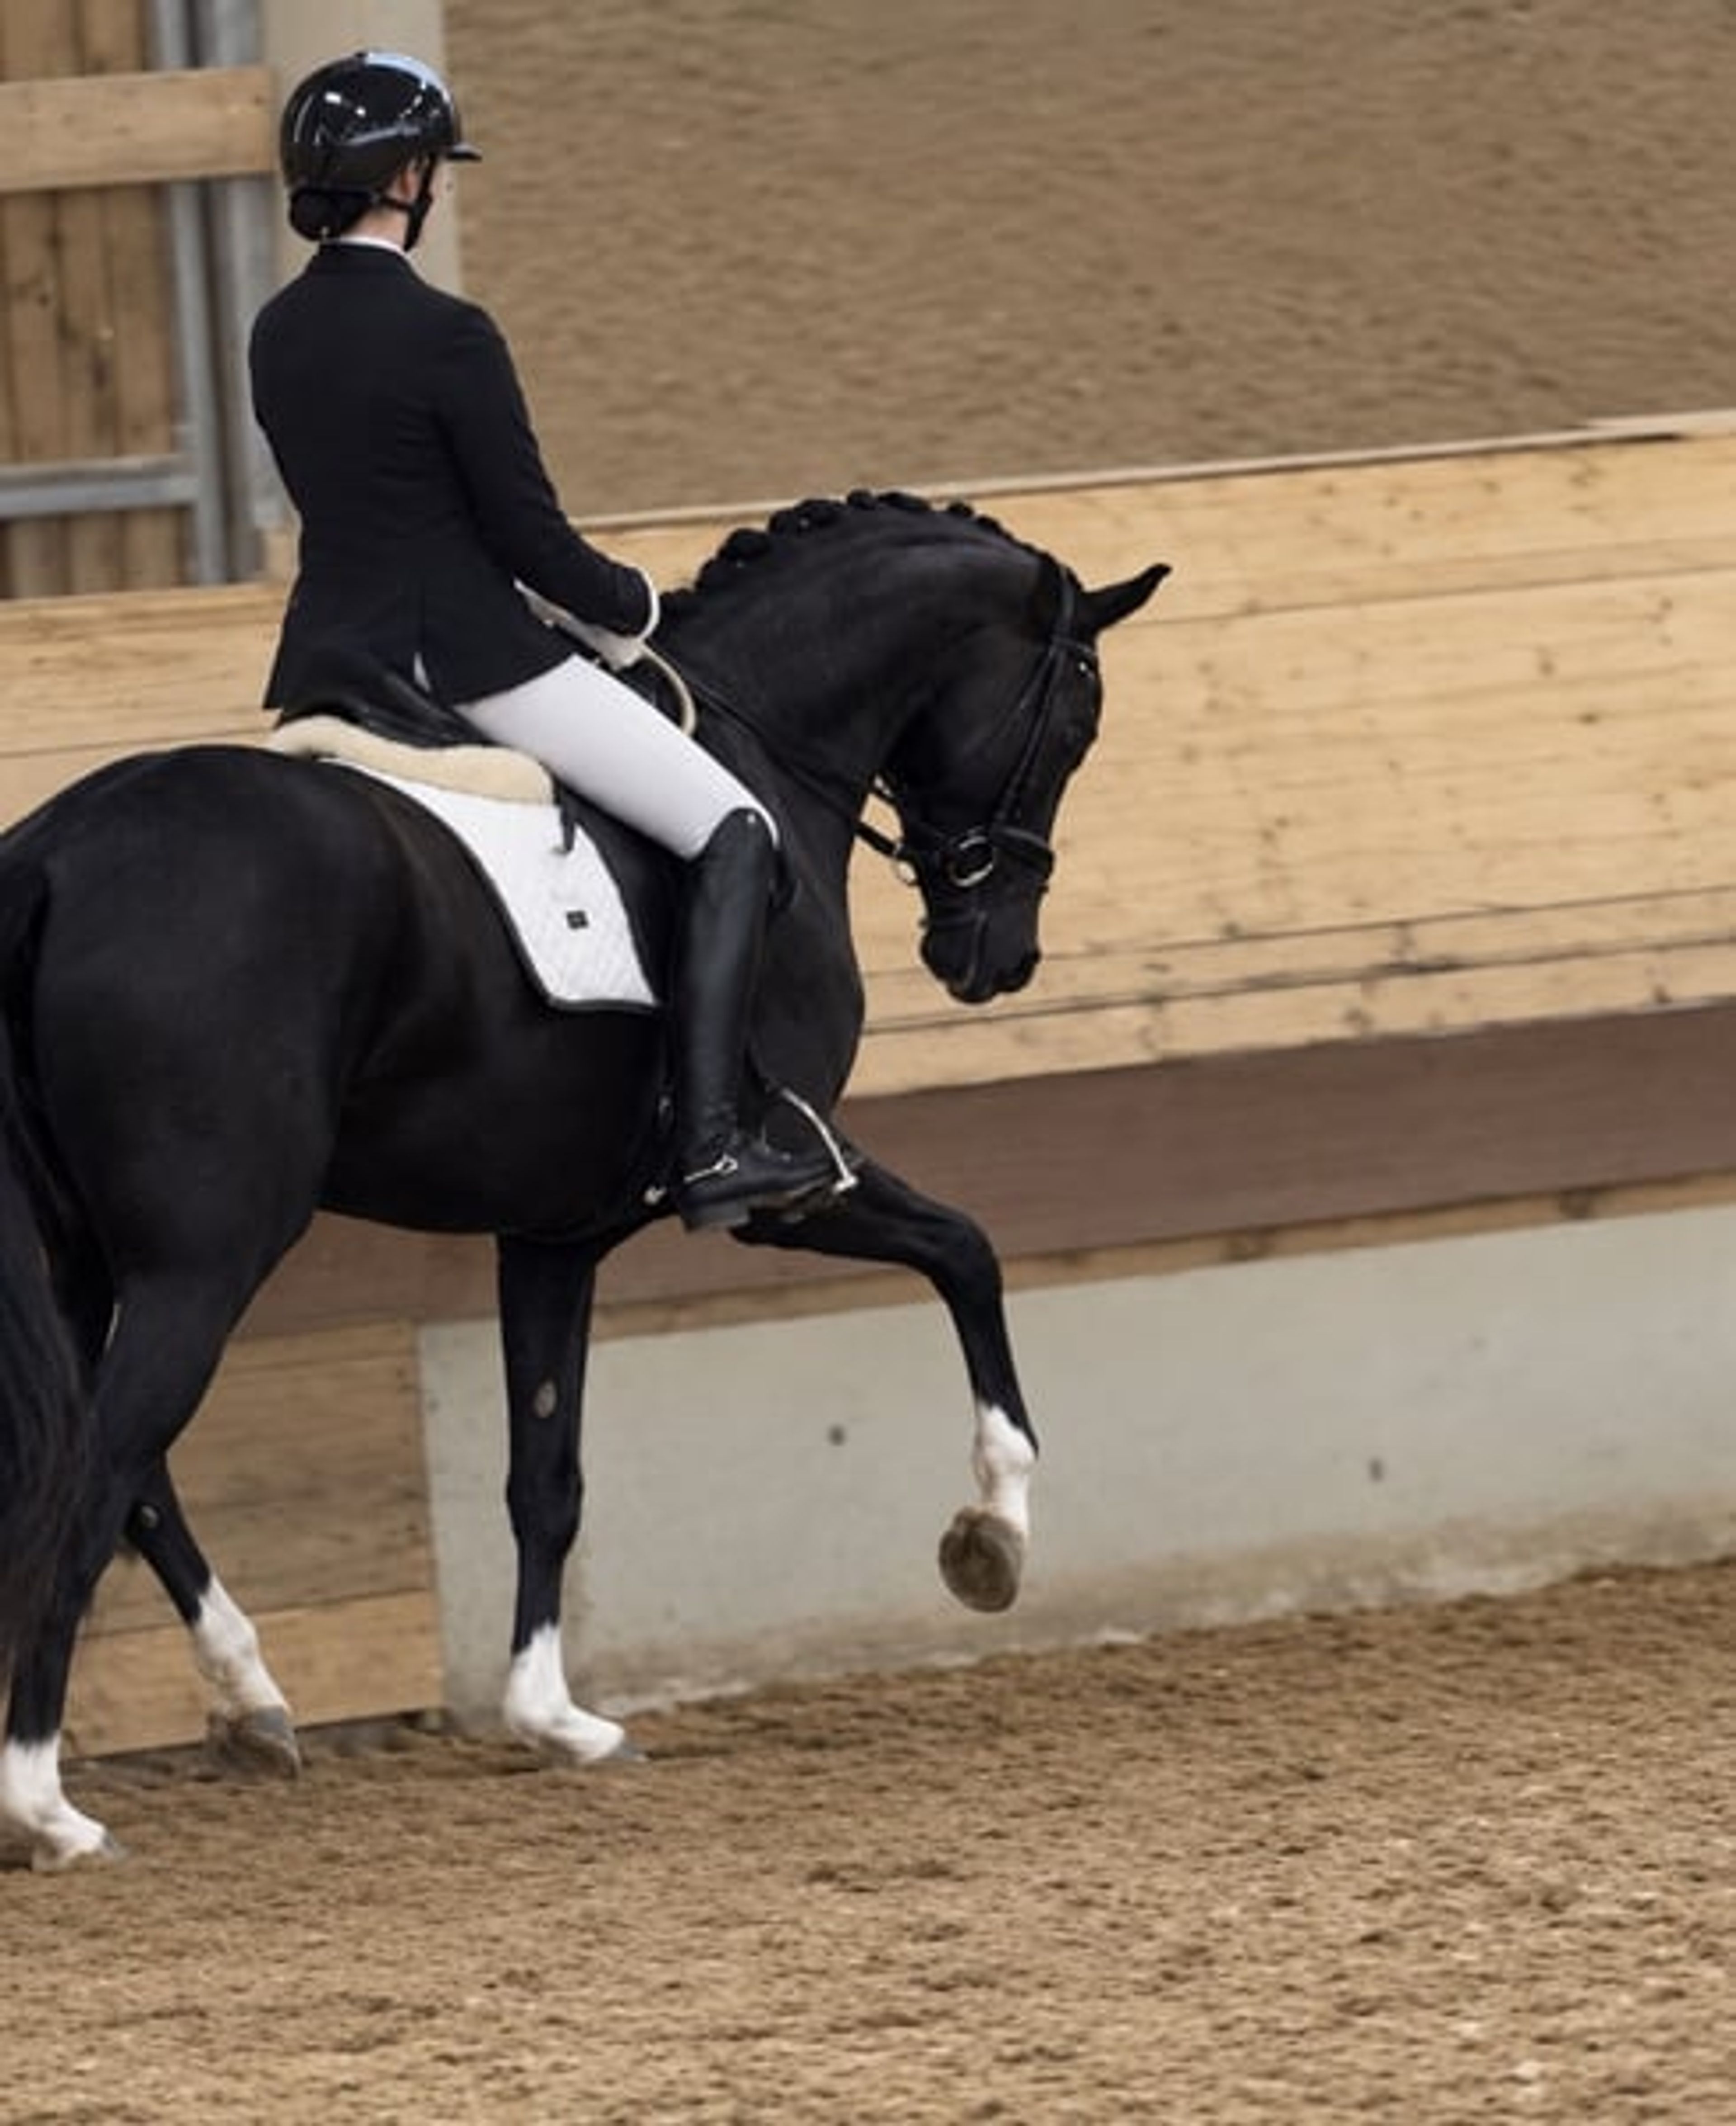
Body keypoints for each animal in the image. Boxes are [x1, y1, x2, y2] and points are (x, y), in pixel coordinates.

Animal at [0, 489, 1164, 1869]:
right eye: (1076, 721)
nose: (996, 958)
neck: (768, 749)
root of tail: (59, 851)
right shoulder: (787, 1187)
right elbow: (970, 1250)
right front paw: (993, 1534)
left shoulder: (550, 1236)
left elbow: (544, 1477)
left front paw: (553, 1715)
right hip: (205, 1258)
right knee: (96, 1474)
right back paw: (47, 1801)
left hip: (98, 1259)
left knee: (131, 1473)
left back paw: (249, 1697)